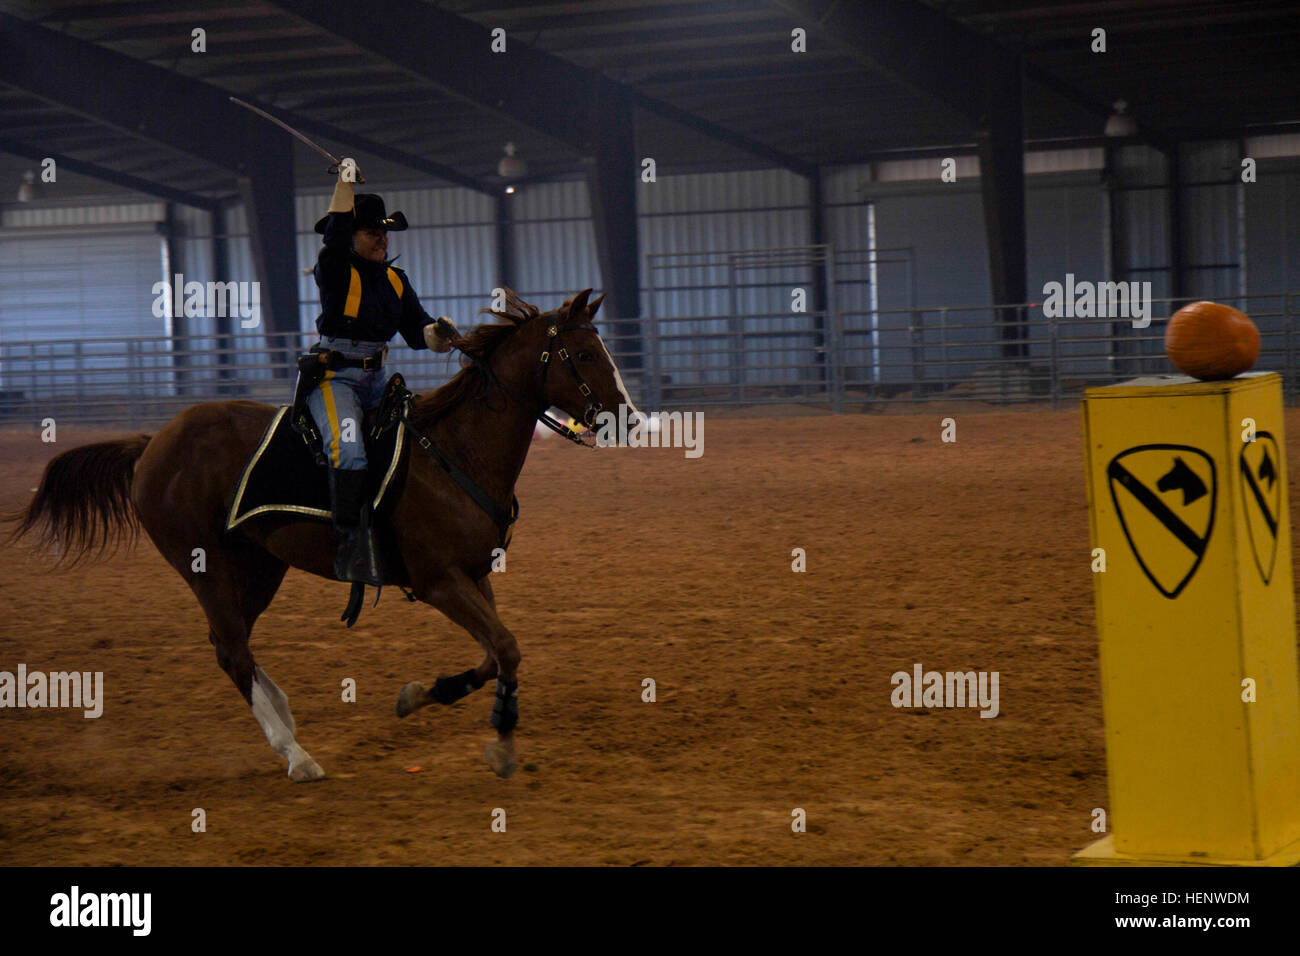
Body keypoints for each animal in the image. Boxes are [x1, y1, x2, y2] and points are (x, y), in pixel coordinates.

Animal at [7, 291, 637, 785]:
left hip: (258, 566)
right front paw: (500, 736)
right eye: (584, 354)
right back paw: (296, 755)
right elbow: (505, 647)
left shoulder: (476, 575)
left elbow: (493, 652)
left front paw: (425, 696)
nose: (626, 418)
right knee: (232, 650)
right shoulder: (440, 581)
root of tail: (150, 444)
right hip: (204, 566)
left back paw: (284, 717)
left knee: (229, 645)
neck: (454, 452)